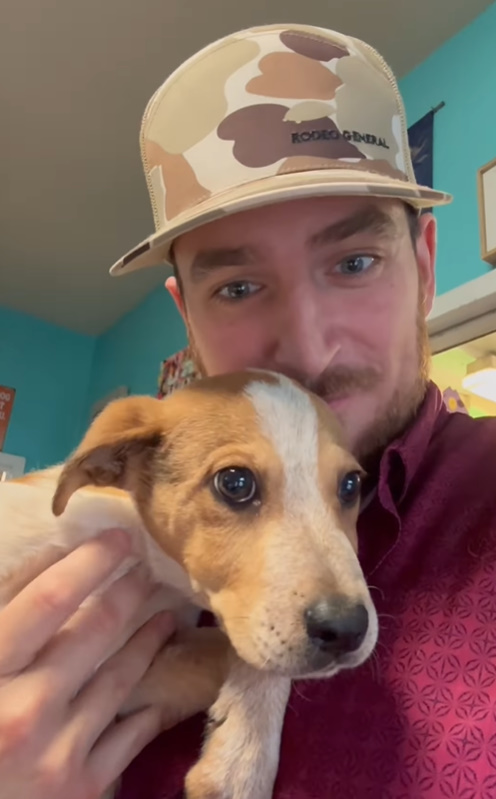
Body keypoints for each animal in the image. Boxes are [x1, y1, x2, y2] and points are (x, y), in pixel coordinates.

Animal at [0, 370, 378, 799]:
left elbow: (242, 653)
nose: (348, 629)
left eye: (351, 485)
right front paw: (244, 758)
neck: (146, 560)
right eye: (235, 482)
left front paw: (241, 753)